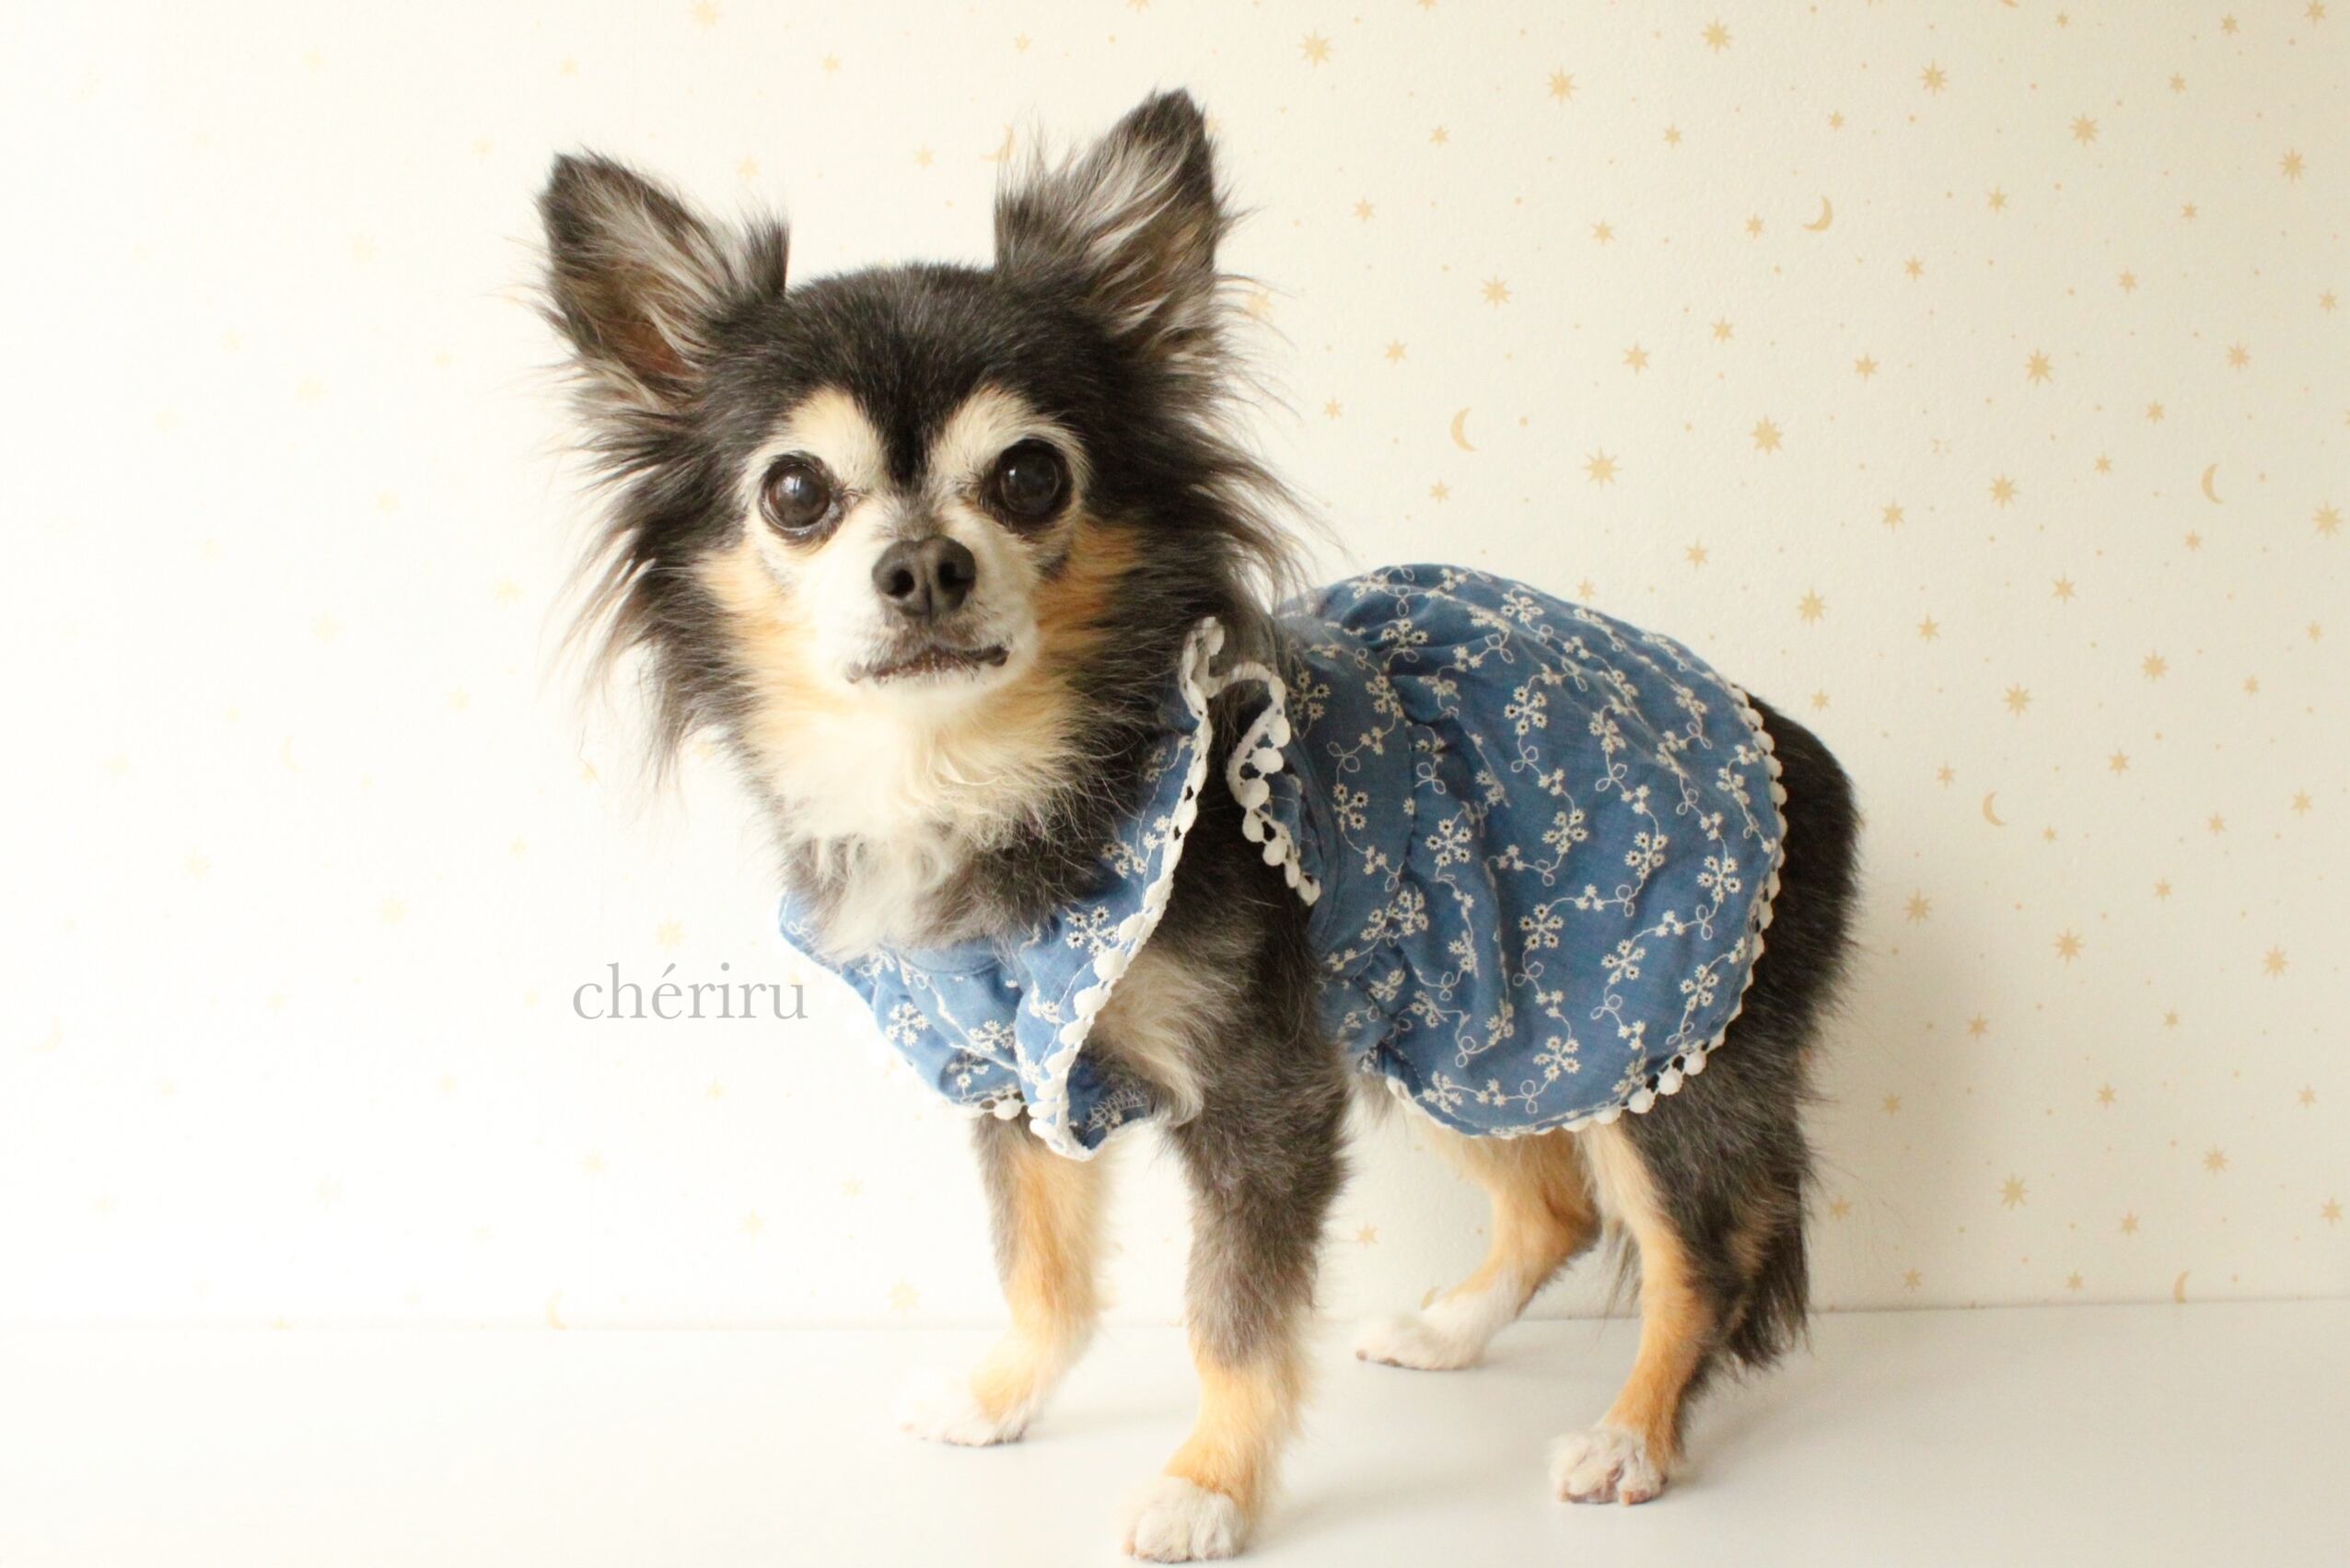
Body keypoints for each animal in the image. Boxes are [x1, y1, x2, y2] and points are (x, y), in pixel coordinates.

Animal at [537, 89, 1859, 1561]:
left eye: (1029, 475)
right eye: (796, 493)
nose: (924, 564)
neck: (993, 782)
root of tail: (1788, 740)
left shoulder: (1257, 1086)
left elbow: (1230, 1312)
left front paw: (1209, 1482)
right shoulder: (1015, 1067)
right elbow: (1041, 1266)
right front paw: (1002, 1398)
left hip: (1643, 1025)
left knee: (1700, 1253)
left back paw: (1632, 1433)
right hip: (1471, 1023)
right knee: (1556, 1200)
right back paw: (1450, 1331)